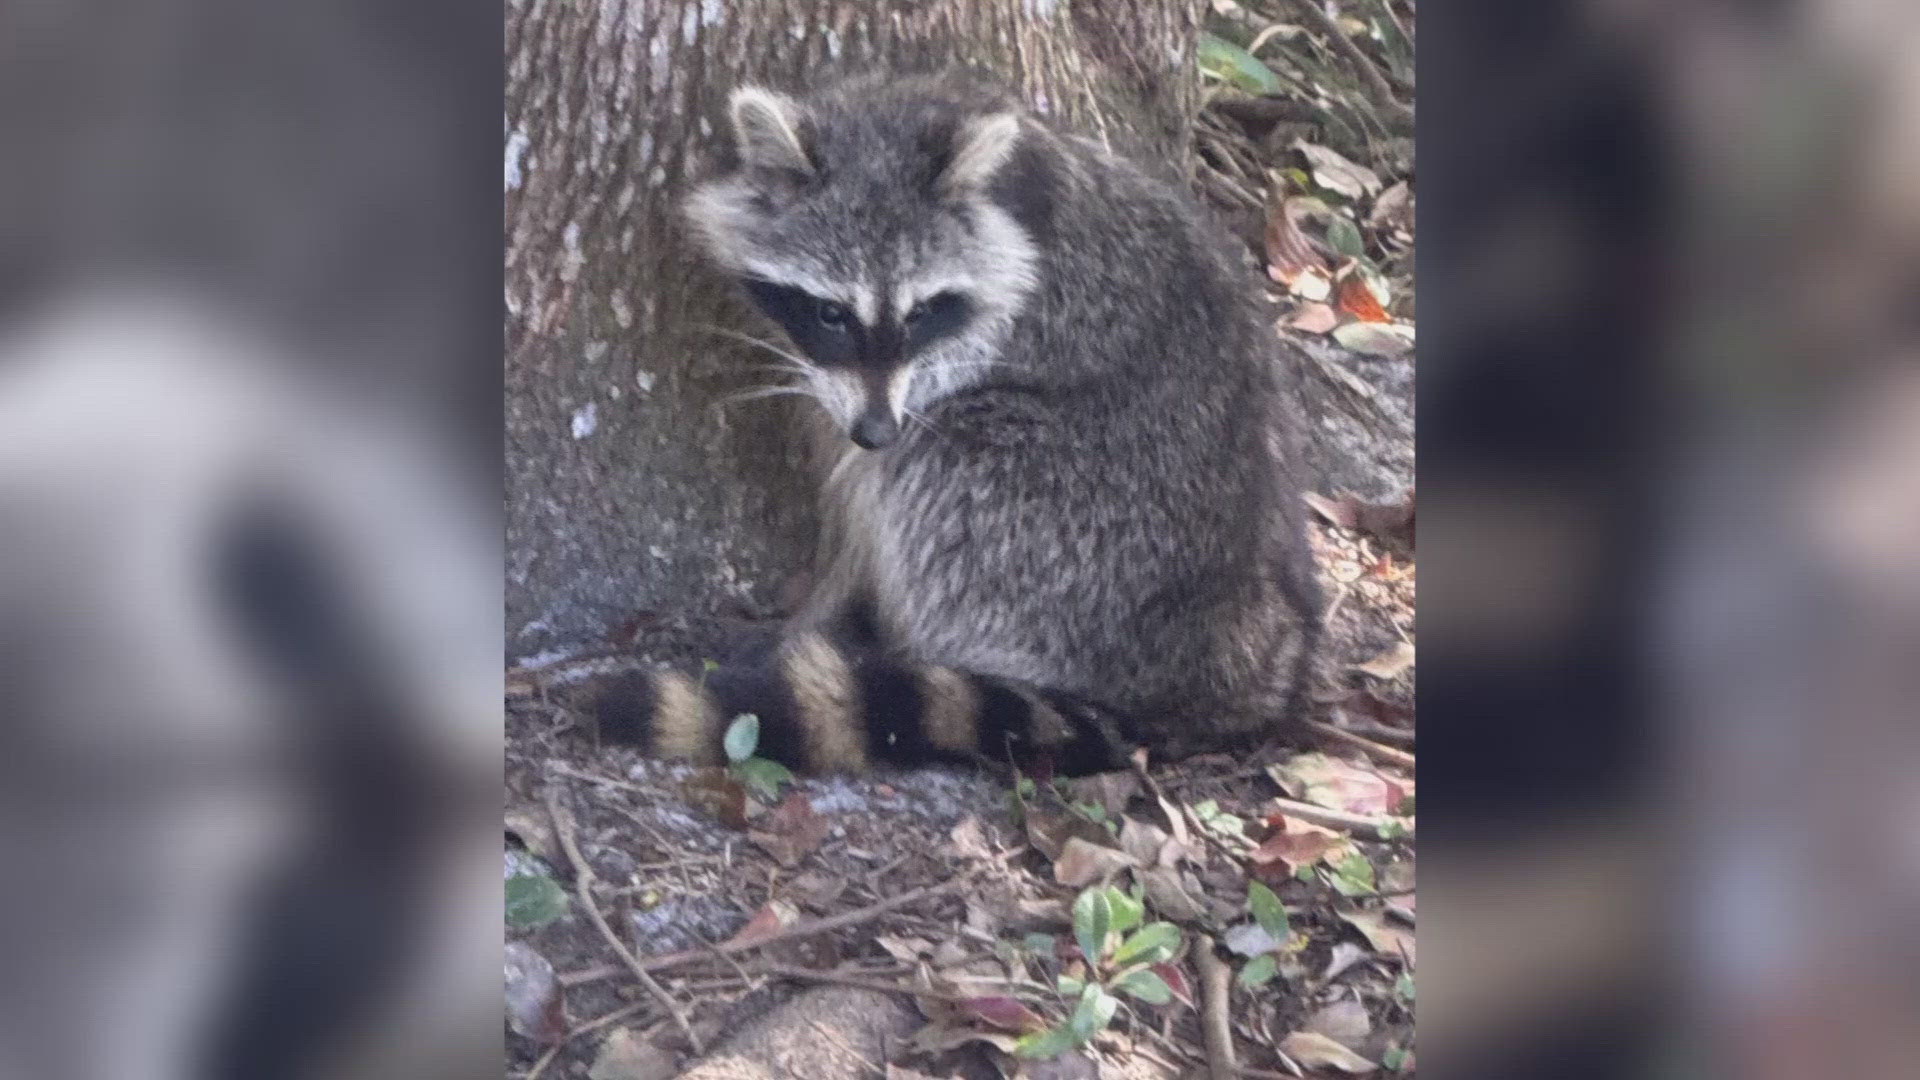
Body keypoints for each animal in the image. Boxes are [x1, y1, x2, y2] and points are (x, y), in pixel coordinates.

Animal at [596, 72, 1321, 776]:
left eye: (920, 313)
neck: (889, 122)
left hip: (1075, 525)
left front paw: (822, 601)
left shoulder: (1004, 319)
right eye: (832, 313)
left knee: (936, 463)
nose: (875, 429)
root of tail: (1240, 670)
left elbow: (881, 461)